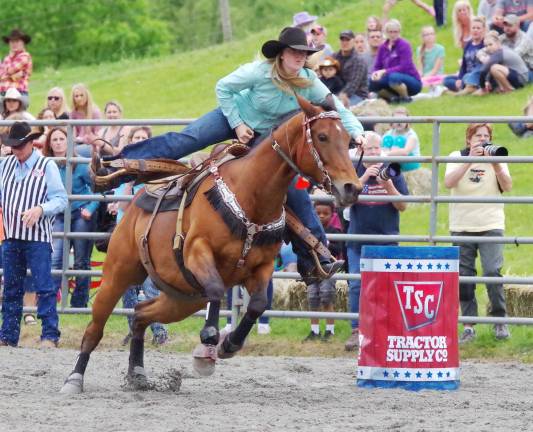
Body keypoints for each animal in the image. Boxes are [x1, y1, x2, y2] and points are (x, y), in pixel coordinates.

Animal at [60, 96, 364, 394]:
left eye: (348, 140)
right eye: (322, 136)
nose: (351, 187)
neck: (249, 195)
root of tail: (132, 208)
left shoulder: (262, 267)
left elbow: (258, 304)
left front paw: (229, 344)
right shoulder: (197, 251)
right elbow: (218, 289)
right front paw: (209, 339)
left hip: (184, 298)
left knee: (140, 314)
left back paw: (137, 374)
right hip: (118, 274)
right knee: (96, 328)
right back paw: (74, 379)